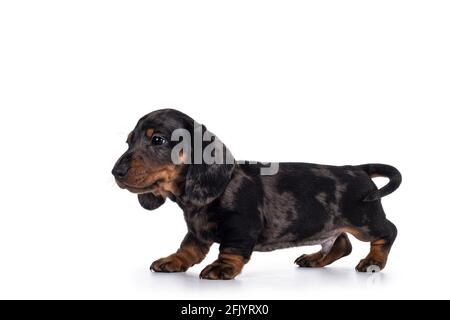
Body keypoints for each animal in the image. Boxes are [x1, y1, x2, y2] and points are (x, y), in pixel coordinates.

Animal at [112, 109, 400, 280]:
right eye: (128, 141)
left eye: (157, 140)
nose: (116, 172)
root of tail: (358, 168)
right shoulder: (197, 231)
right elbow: (188, 248)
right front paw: (172, 261)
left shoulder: (242, 226)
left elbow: (231, 249)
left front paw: (221, 268)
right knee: (341, 244)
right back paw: (314, 259)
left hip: (365, 220)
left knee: (388, 232)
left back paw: (373, 261)